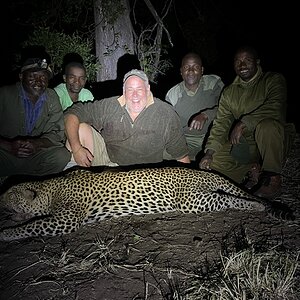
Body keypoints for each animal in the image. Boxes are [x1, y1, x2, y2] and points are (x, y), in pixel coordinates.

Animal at [0, 165, 294, 240]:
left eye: (10, 195)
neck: (50, 188)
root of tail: (205, 172)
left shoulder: (66, 220)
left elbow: (33, 226)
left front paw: (6, 234)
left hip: (193, 200)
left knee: (230, 199)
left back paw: (258, 207)